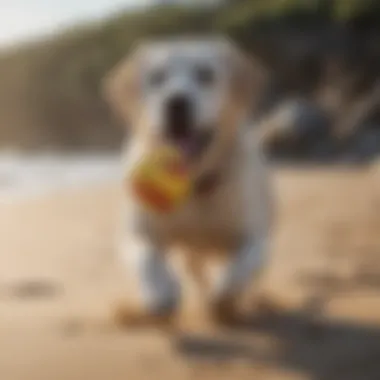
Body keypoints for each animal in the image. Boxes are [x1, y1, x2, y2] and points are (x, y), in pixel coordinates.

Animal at [102, 36, 272, 326]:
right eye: (157, 78)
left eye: (206, 75)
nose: (176, 103)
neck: (192, 183)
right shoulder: (136, 233)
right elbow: (147, 258)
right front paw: (162, 292)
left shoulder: (255, 237)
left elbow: (244, 265)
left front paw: (224, 294)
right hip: (192, 256)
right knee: (195, 272)